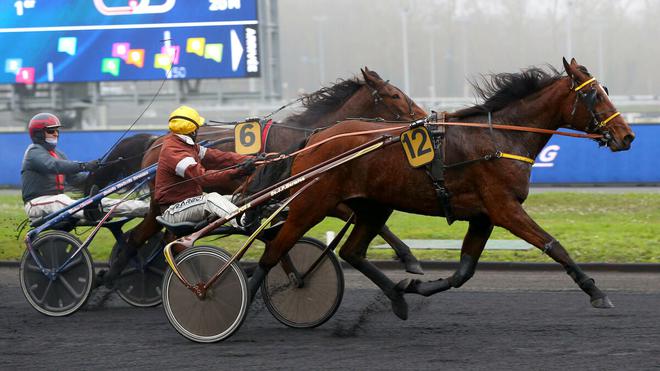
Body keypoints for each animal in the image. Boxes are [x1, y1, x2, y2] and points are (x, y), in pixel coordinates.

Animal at [111, 68, 430, 282]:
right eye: (394, 95)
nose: (425, 115)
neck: (310, 138)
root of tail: (156, 141)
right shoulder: (319, 191)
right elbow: (369, 219)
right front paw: (409, 257)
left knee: (153, 237)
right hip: (162, 203)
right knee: (140, 238)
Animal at [248, 58, 636, 320]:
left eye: (604, 91)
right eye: (595, 95)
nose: (627, 136)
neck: (499, 138)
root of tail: (316, 137)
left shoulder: (483, 216)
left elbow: (464, 272)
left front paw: (415, 287)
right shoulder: (504, 208)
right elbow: (553, 245)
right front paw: (596, 291)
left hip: (373, 205)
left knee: (351, 252)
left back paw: (398, 297)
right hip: (312, 202)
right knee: (275, 249)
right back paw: (246, 295)